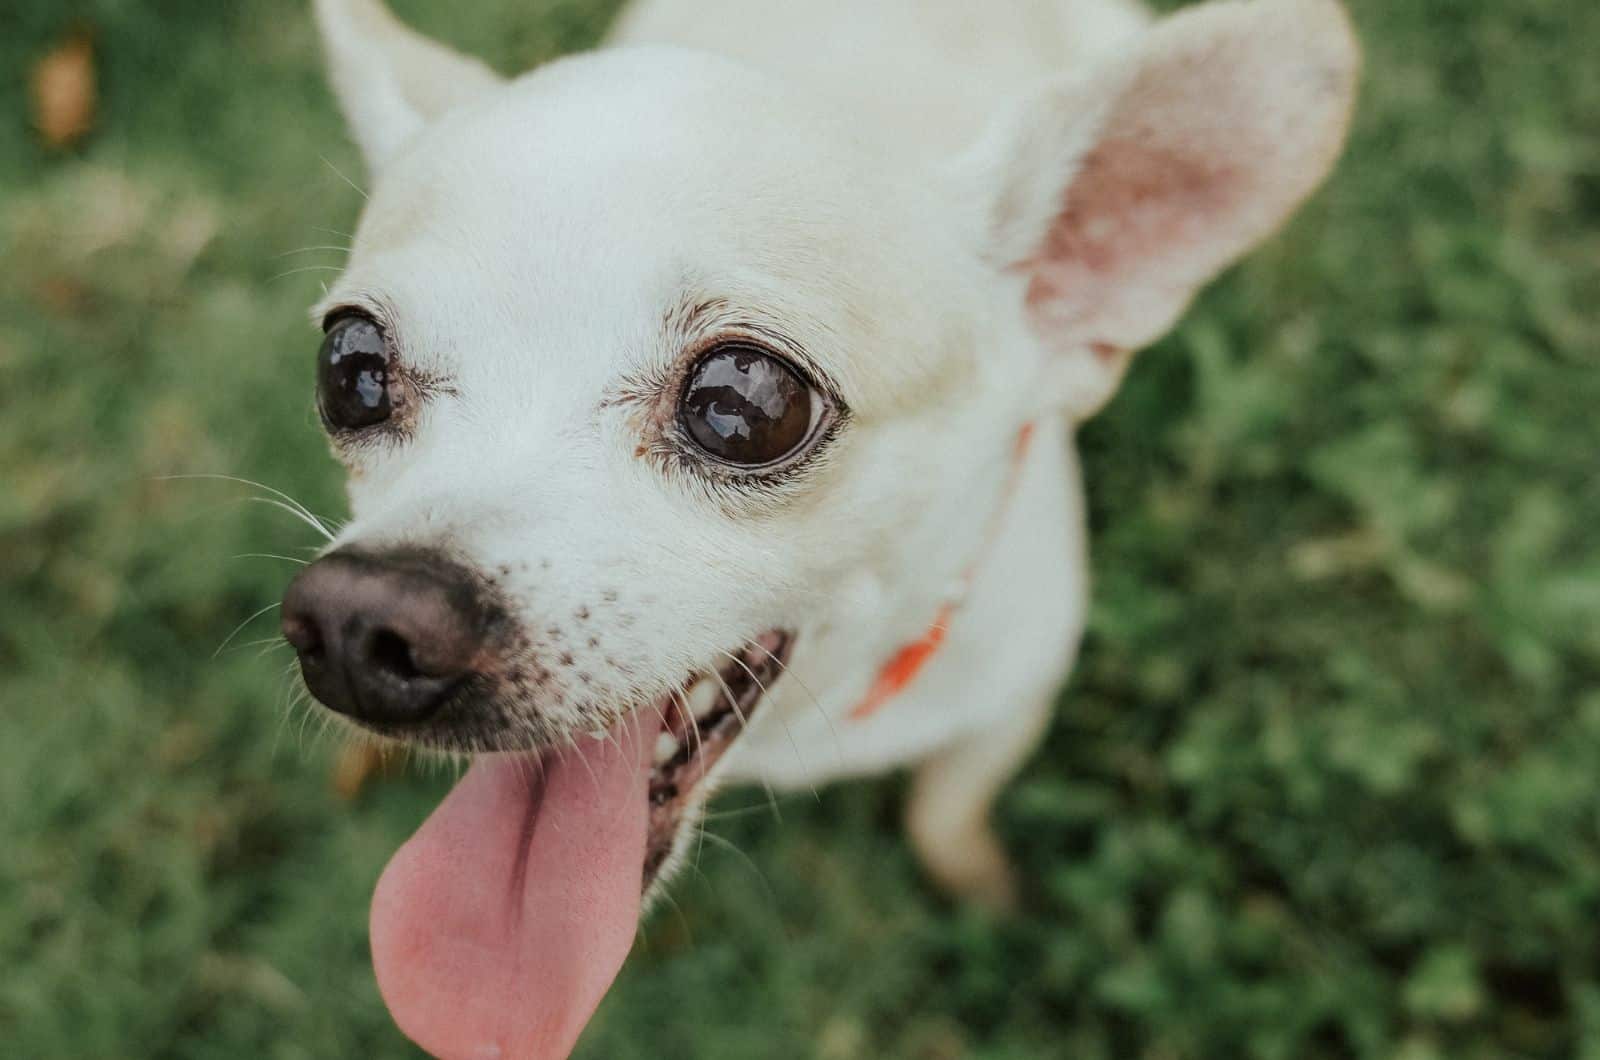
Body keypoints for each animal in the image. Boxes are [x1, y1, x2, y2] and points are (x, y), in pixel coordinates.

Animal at [284, 2, 1350, 1056]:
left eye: (745, 402)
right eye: (350, 368)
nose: (358, 617)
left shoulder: (1015, 700)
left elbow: (946, 815)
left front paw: (979, 883)